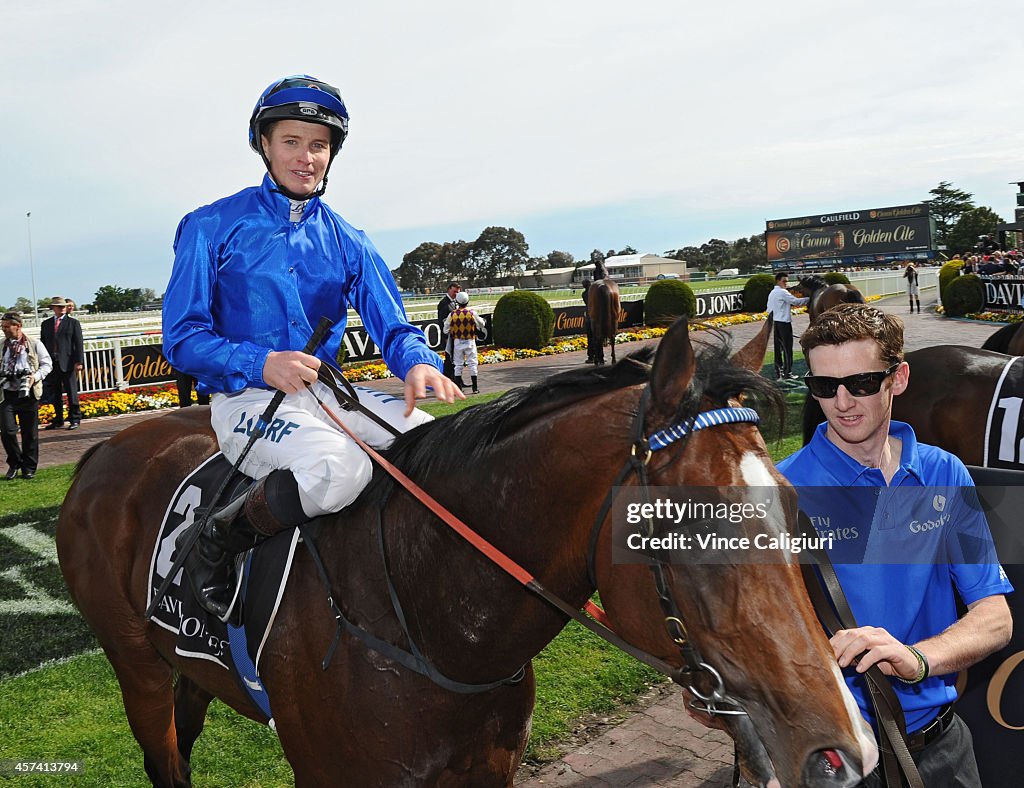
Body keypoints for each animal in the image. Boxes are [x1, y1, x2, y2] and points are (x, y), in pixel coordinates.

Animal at [56, 315, 872, 785]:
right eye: (691, 525)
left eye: (794, 508)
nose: (843, 753)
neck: (423, 614)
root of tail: (103, 452)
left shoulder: (487, 765)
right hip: (135, 663)